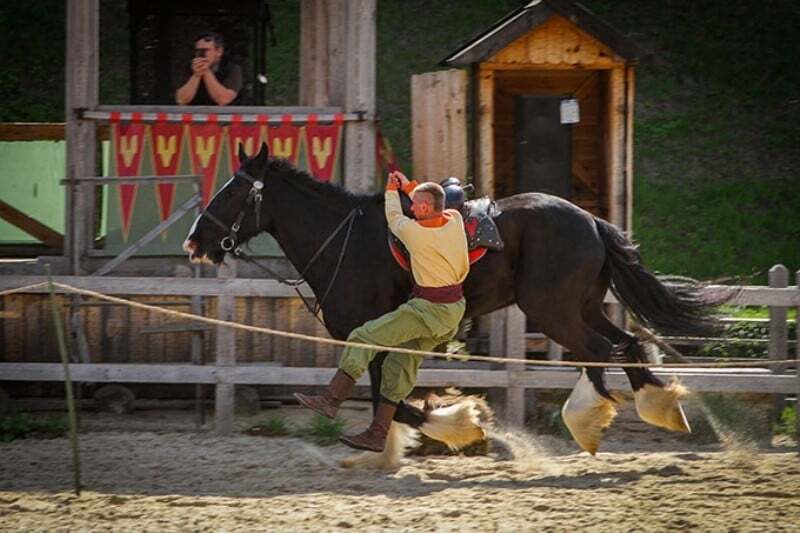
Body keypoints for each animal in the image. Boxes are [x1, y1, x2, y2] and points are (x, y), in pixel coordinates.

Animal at [184, 144, 720, 458]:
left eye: (231, 192)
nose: (195, 241)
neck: (345, 242)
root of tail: (591, 221)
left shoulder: (373, 331)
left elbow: (392, 399)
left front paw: (461, 425)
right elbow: (389, 396)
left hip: (554, 311)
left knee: (599, 351)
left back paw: (591, 421)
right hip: (581, 305)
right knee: (626, 344)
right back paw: (658, 407)